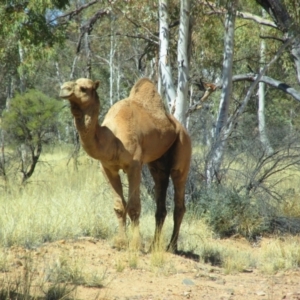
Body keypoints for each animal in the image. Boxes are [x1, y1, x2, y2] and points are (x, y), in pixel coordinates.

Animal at [59, 77, 191, 251]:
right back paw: (154, 245)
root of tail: (181, 128)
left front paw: (136, 244)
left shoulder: (134, 166)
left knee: (179, 198)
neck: (112, 138)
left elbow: (134, 206)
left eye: (83, 88)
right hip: (158, 165)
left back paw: (171, 246)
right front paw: (121, 242)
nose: (63, 88)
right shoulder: (108, 168)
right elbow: (119, 206)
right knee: (161, 195)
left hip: (183, 147)